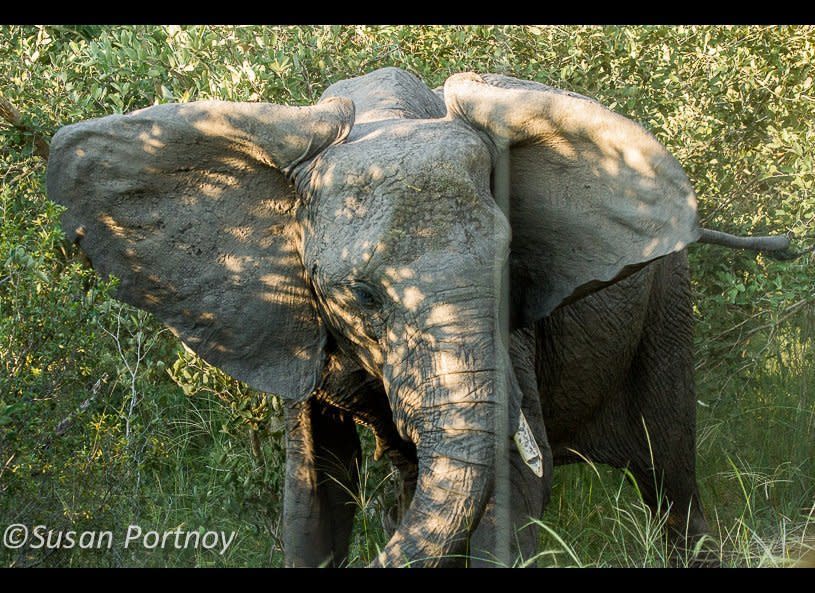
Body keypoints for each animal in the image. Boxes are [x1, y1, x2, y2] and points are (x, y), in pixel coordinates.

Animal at [47, 67, 728, 568]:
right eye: (361, 297)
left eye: (511, 278)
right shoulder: (293, 320)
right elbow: (314, 493)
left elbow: (513, 492)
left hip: (669, 301)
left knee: (671, 476)